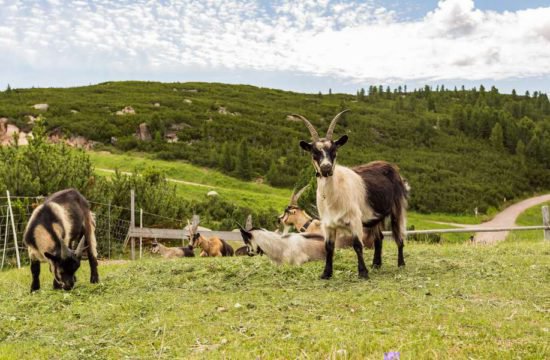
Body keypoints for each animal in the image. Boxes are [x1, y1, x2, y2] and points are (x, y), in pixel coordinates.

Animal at [298, 111, 410, 280]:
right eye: (314, 153)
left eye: (334, 151)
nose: (326, 168)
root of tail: (392, 167)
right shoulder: (327, 224)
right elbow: (328, 247)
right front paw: (326, 273)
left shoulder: (355, 219)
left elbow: (357, 245)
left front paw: (363, 272)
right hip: (374, 215)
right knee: (379, 238)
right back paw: (376, 264)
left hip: (397, 207)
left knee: (399, 235)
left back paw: (401, 264)